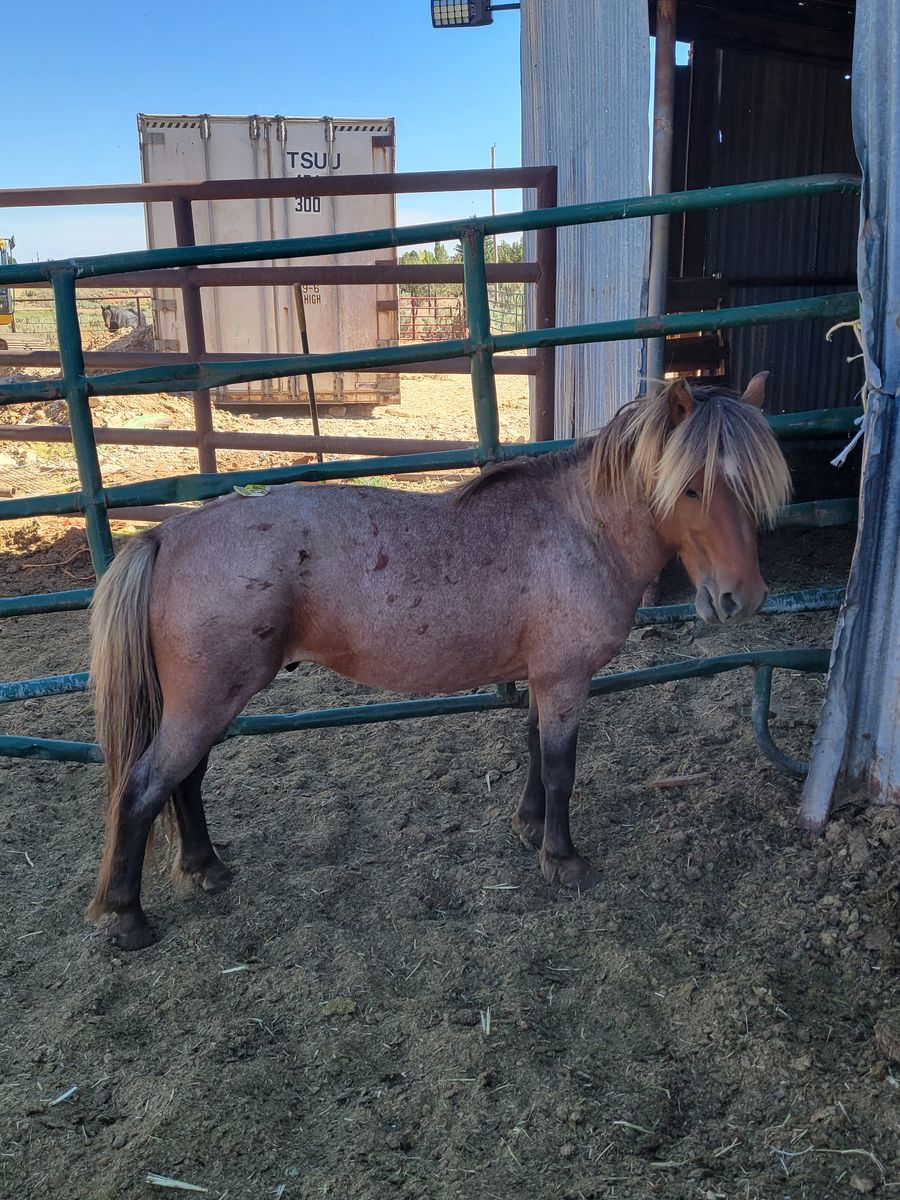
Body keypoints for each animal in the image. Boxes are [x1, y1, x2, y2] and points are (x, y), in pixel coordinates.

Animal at [87, 374, 790, 949]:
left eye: (752, 484)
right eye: (692, 487)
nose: (742, 597)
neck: (576, 528)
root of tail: (167, 533)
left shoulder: (542, 677)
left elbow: (534, 750)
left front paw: (530, 827)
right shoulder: (567, 679)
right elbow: (561, 768)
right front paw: (563, 860)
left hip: (209, 703)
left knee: (184, 781)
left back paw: (206, 869)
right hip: (208, 701)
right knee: (145, 787)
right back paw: (127, 917)